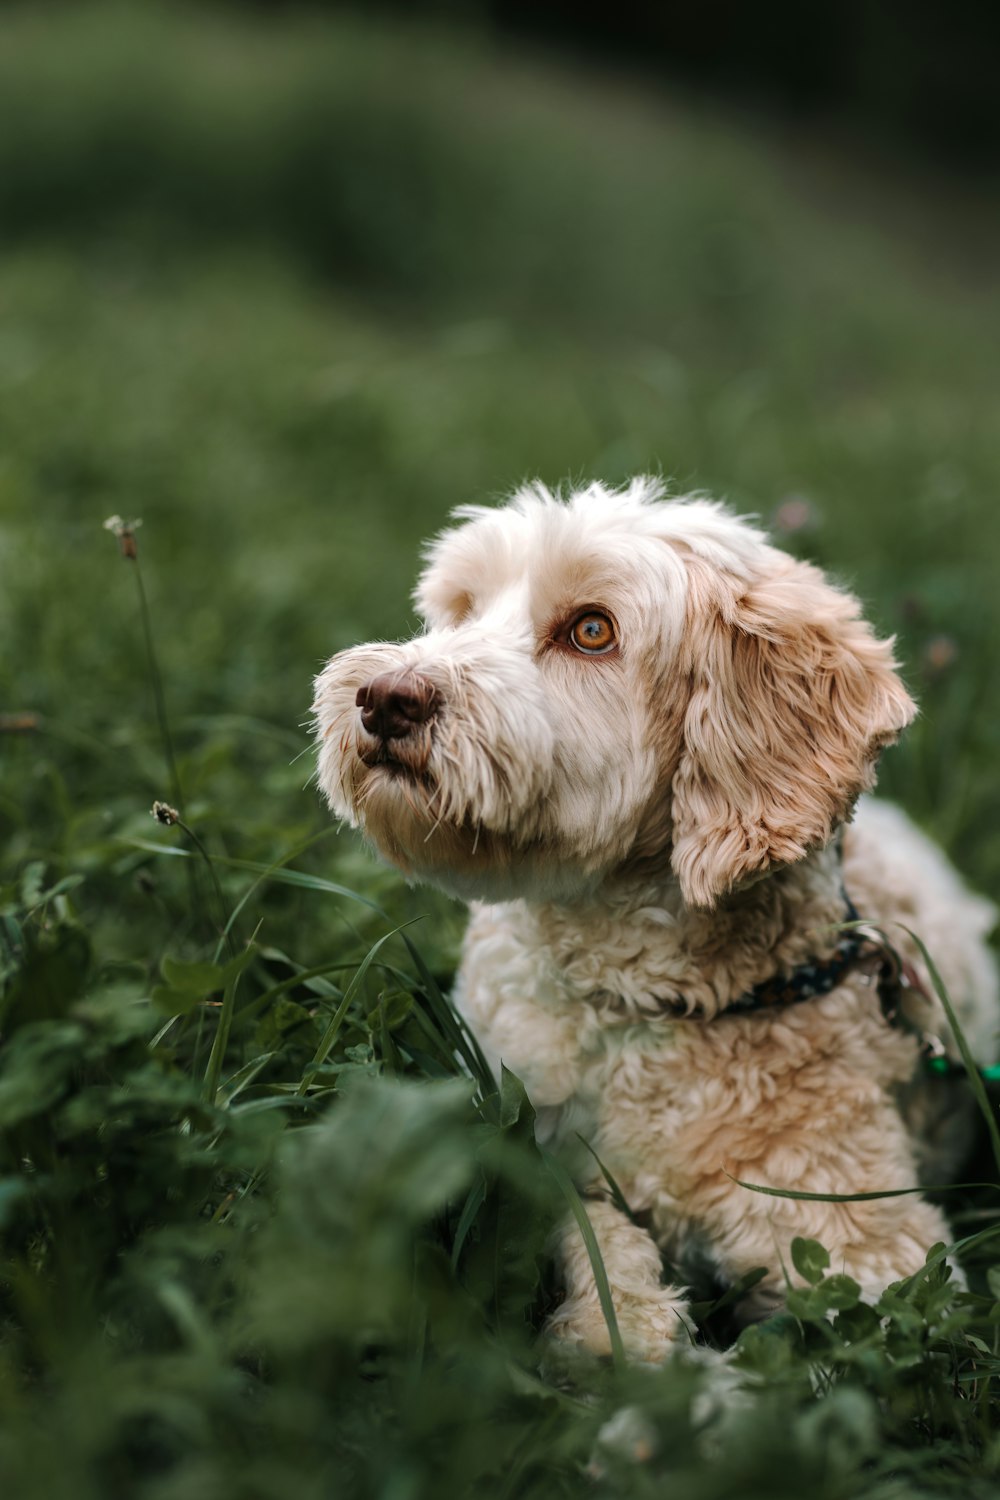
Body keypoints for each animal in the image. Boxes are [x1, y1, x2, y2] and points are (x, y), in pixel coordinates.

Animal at [310, 480, 995, 1362]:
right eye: (461, 611)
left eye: (591, 630)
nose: (387, 698)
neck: (646, 1003)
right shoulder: (518, 1138)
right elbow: (590, 1237)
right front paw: (619, 1325)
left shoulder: (881, 1260)